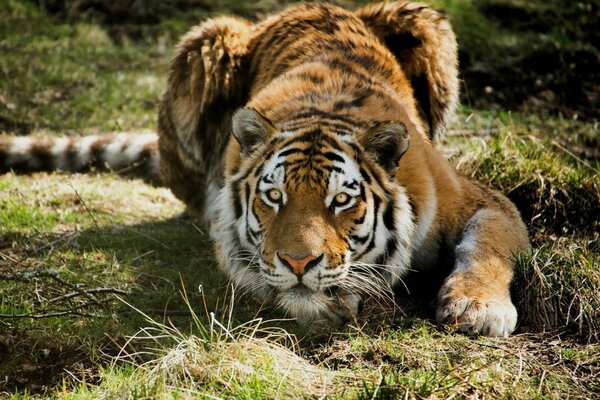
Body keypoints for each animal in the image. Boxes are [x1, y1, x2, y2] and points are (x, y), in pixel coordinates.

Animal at [0, 1, 528, 336]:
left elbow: (487, 246)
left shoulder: (480, 199)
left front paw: (478, 308)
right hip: (206, 42)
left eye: (341, 201)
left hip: (424, 21)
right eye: (274, 197)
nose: (298, 264)